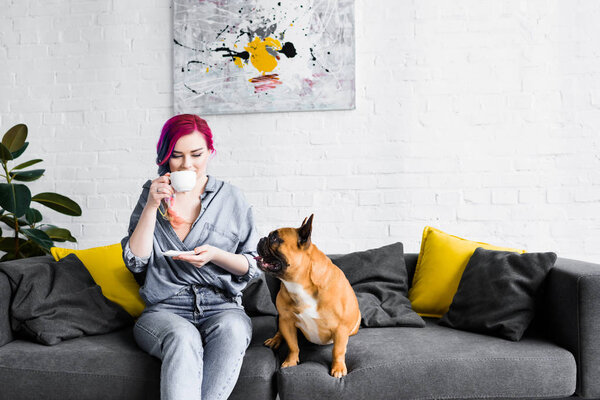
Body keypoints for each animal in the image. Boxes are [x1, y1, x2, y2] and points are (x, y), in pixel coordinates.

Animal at [254, 214, 358, 376]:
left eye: (275, 238)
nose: (262, 238)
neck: (299, 283)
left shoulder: (340, 329)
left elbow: (338, 350)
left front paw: (338, 368)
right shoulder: (286, 320)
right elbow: (292, 345)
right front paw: (291, 361)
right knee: (280, 332)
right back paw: (275, 340)